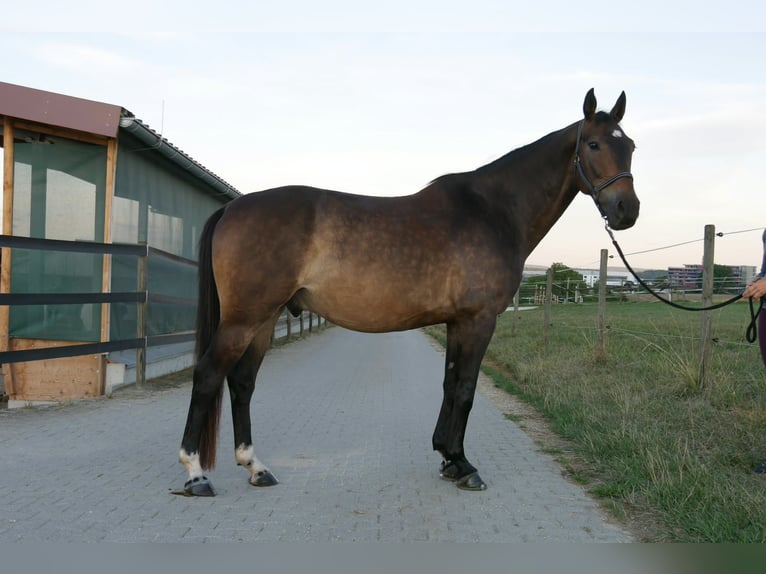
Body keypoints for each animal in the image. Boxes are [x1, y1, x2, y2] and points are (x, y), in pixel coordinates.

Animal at [179, 89, 640, 496]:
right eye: (594, 144)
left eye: (631, 146)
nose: (626, 211)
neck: (493, 210)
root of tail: (233, 206)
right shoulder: (478, 321)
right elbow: (466, 389)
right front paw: (464, 465)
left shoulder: (457, 322)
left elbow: (450, 385)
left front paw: (448, 458)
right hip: (245, 318)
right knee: (209, 374)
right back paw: (196, 474)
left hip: (263, 317)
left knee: (241, 382)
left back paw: (256, 468)